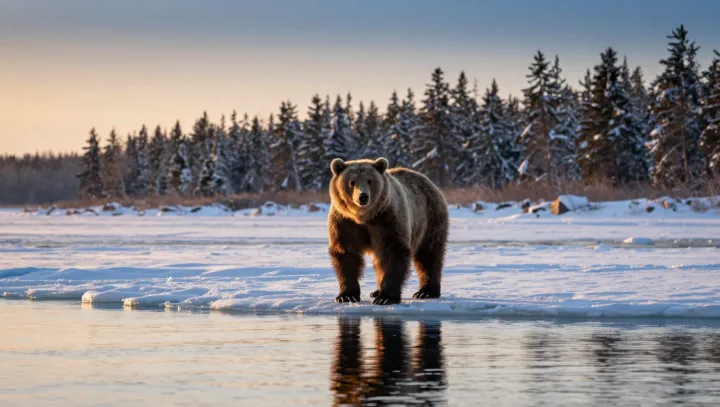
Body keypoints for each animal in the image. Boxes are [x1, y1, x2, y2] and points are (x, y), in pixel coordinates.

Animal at [327, 157, 449, 305]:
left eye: (370, 180)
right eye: (352, 182)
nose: (363, 196)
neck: (364, 217)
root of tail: (426, 179)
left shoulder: (387, 219)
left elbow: (394, 252)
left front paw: (385, 297)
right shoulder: (344, 221)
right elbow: (346, 253)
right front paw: (347, 295)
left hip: (429, 218)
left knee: (428, 254)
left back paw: (426, 292)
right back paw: (376, 291)